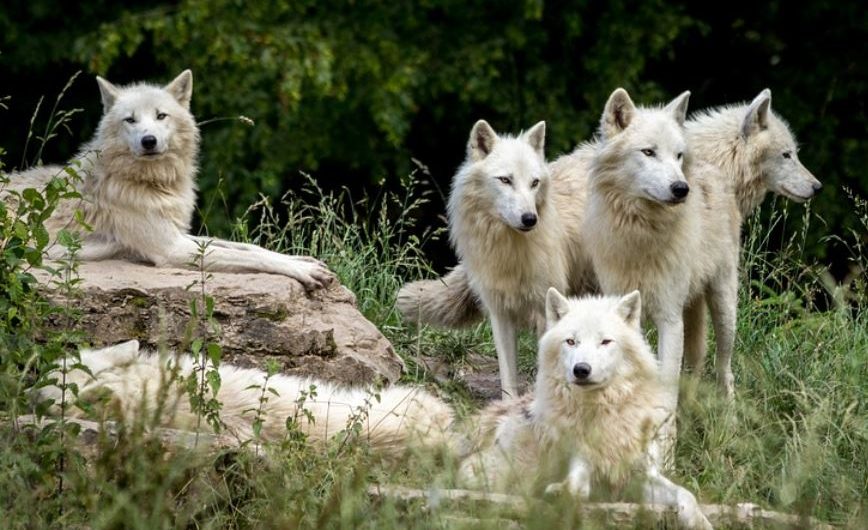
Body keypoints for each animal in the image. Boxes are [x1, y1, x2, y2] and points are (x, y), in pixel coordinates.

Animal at [1, 70, 332, 290]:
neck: (153, 185)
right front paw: (302, 271)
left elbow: (249, 248)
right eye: (131, 120)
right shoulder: (172, 249)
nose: (148, 141)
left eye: (161, 116)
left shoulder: (181, 235)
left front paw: (304, 261)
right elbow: (250, 257)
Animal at [458, 289, 713, 529]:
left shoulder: (641, 476)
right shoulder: (582, 462)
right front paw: (561, 493)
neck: (604, 411)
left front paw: (699, 521)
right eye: (571, 341)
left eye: (605, 341)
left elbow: (685, 494)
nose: (581, 369)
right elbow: (577, 486)